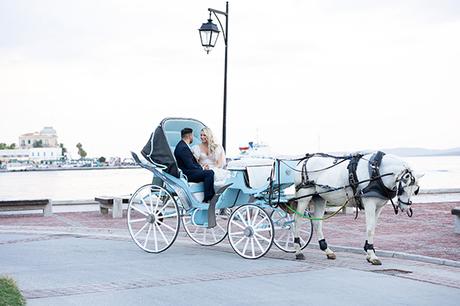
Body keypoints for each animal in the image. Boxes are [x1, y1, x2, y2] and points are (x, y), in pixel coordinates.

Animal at [292, 152, 422, 264]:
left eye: (416, 190)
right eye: (403, 188)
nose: (405, 207)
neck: (377, 171)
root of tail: (304, 160)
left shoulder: (379, 206)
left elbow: (373, 227)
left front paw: (369, 252)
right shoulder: (369, 203)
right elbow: (370, 229)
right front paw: (372, 255)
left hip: (319, 197)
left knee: (317, 222)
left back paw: (327, 250)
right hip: (305, 195)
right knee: (297, 220)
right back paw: (298, 251)